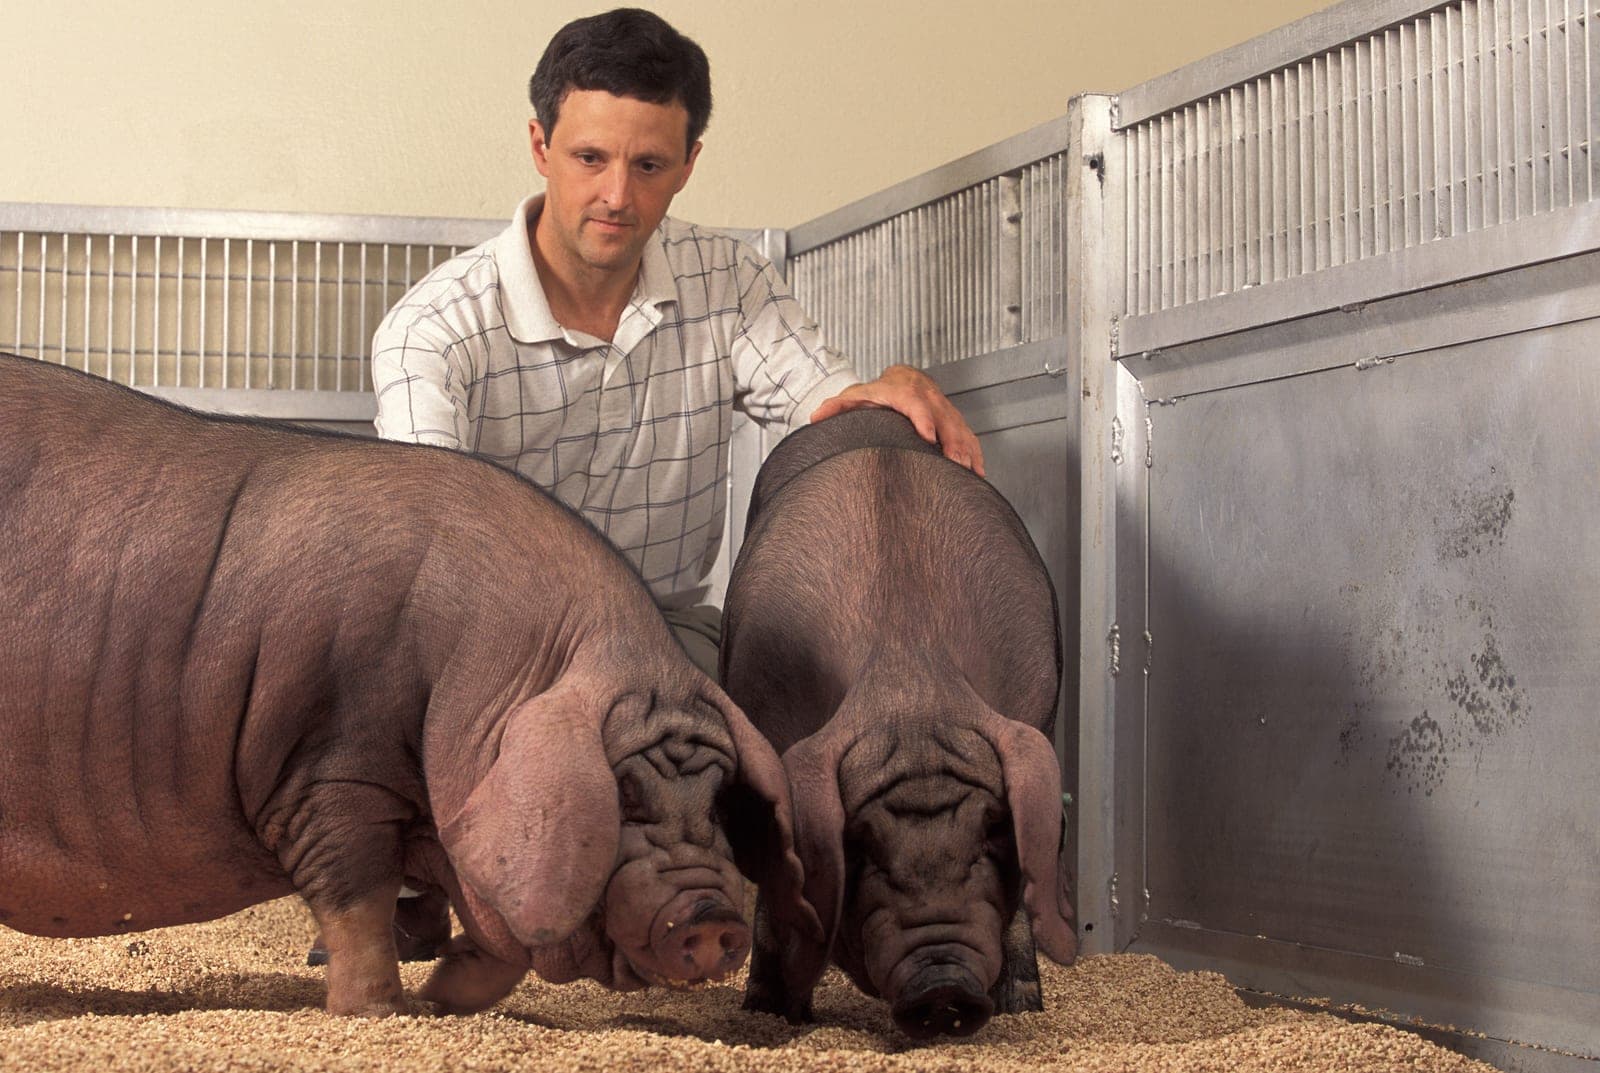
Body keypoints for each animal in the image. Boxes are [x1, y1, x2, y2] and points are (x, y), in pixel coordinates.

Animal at [0, 352, 818, 1017]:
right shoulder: (330, 769)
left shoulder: (453, 817)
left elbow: (492, 933)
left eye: (720, 797)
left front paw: (440, 1004)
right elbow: (358, 904)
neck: (486, 673)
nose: (715, 916)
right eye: (623, 792)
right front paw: (381, 1011)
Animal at [720, 408, 1076, 1039]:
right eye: (860, 846)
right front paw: (772, 1010)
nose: (944, 983)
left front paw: (1024, 1005)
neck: (909, 679)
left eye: (992, 833)